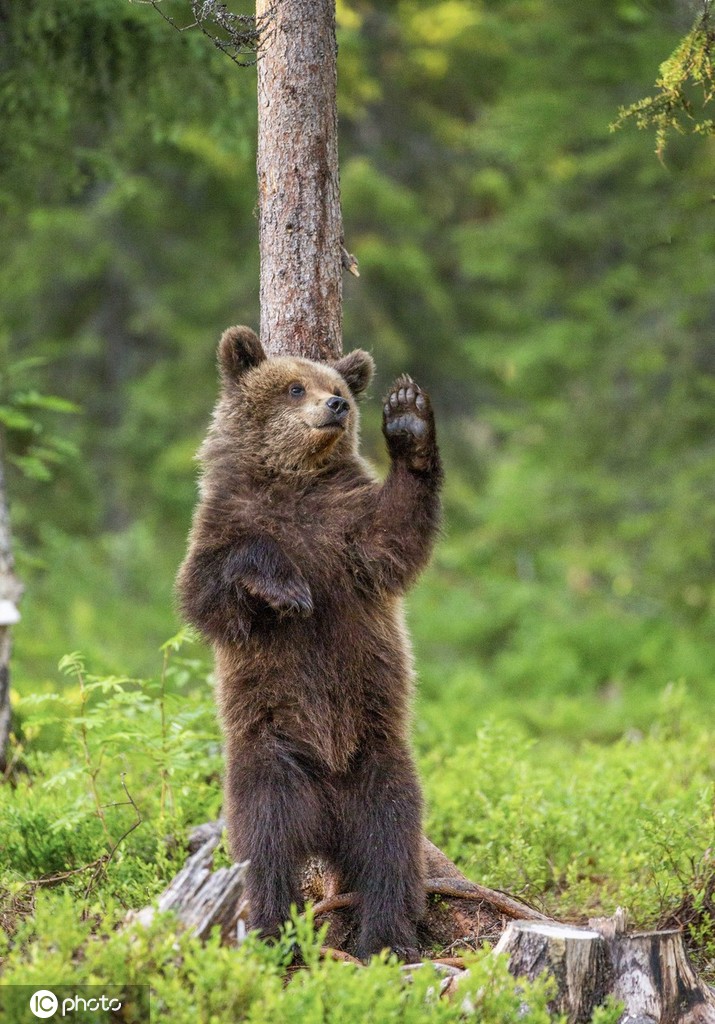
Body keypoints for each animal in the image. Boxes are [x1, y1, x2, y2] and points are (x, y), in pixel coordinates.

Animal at [177, 325, 442, 959]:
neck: (293, 482)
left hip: (377, 761)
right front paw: (287, 590)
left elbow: (396, 533)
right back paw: (272, 930)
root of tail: (326, 821)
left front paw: (409, 419)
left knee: (391, 843)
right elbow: (208, 589)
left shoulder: (349, 529)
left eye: (336, 384)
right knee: (266, 848)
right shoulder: (222, 521)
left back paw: (387, 937)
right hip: (271, 760)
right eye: (295, 386)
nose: (337, 405)